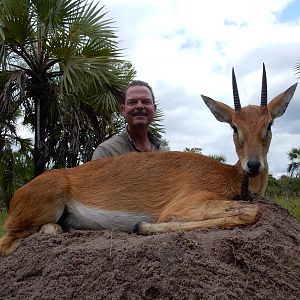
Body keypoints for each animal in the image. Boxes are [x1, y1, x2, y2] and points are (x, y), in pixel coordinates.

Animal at [0, 63, 296, 255]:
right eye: (234, 127)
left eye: (269, 124)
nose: (253, 165)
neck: (228, 174)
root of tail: (19, 193)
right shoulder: (184, 205)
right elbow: (252, 211)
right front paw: (141, 225)